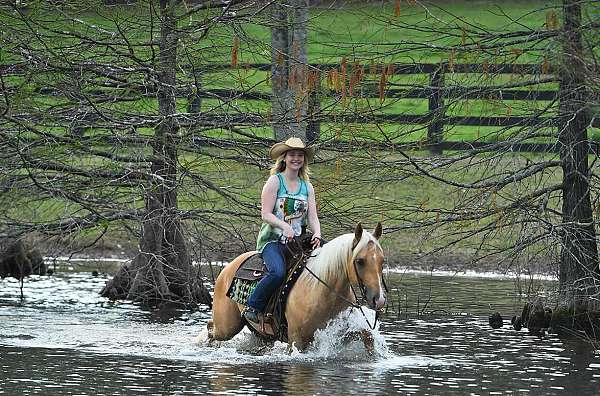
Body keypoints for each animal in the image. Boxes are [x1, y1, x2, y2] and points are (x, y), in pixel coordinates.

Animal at [206, 223, 384, 350]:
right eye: (360, 261)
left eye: (382, 260)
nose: (379, 299)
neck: (322, 290)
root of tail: (228, 268)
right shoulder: (296, 340)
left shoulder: (341, 331)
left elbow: (367, 336)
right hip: (226, 327)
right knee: (210, 328)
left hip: (261, 334)